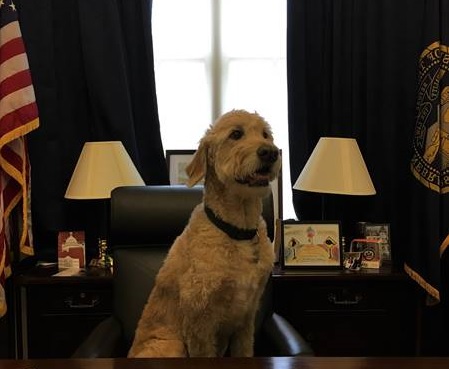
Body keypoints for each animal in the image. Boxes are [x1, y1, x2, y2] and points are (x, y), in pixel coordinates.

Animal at [127, 108, 280, 356]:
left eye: (266, 134)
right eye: (236, 134)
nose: (271, 153)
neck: (237, 231)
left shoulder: (247, 318)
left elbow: (244, 351)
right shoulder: (199, 321)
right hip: (173, 345)